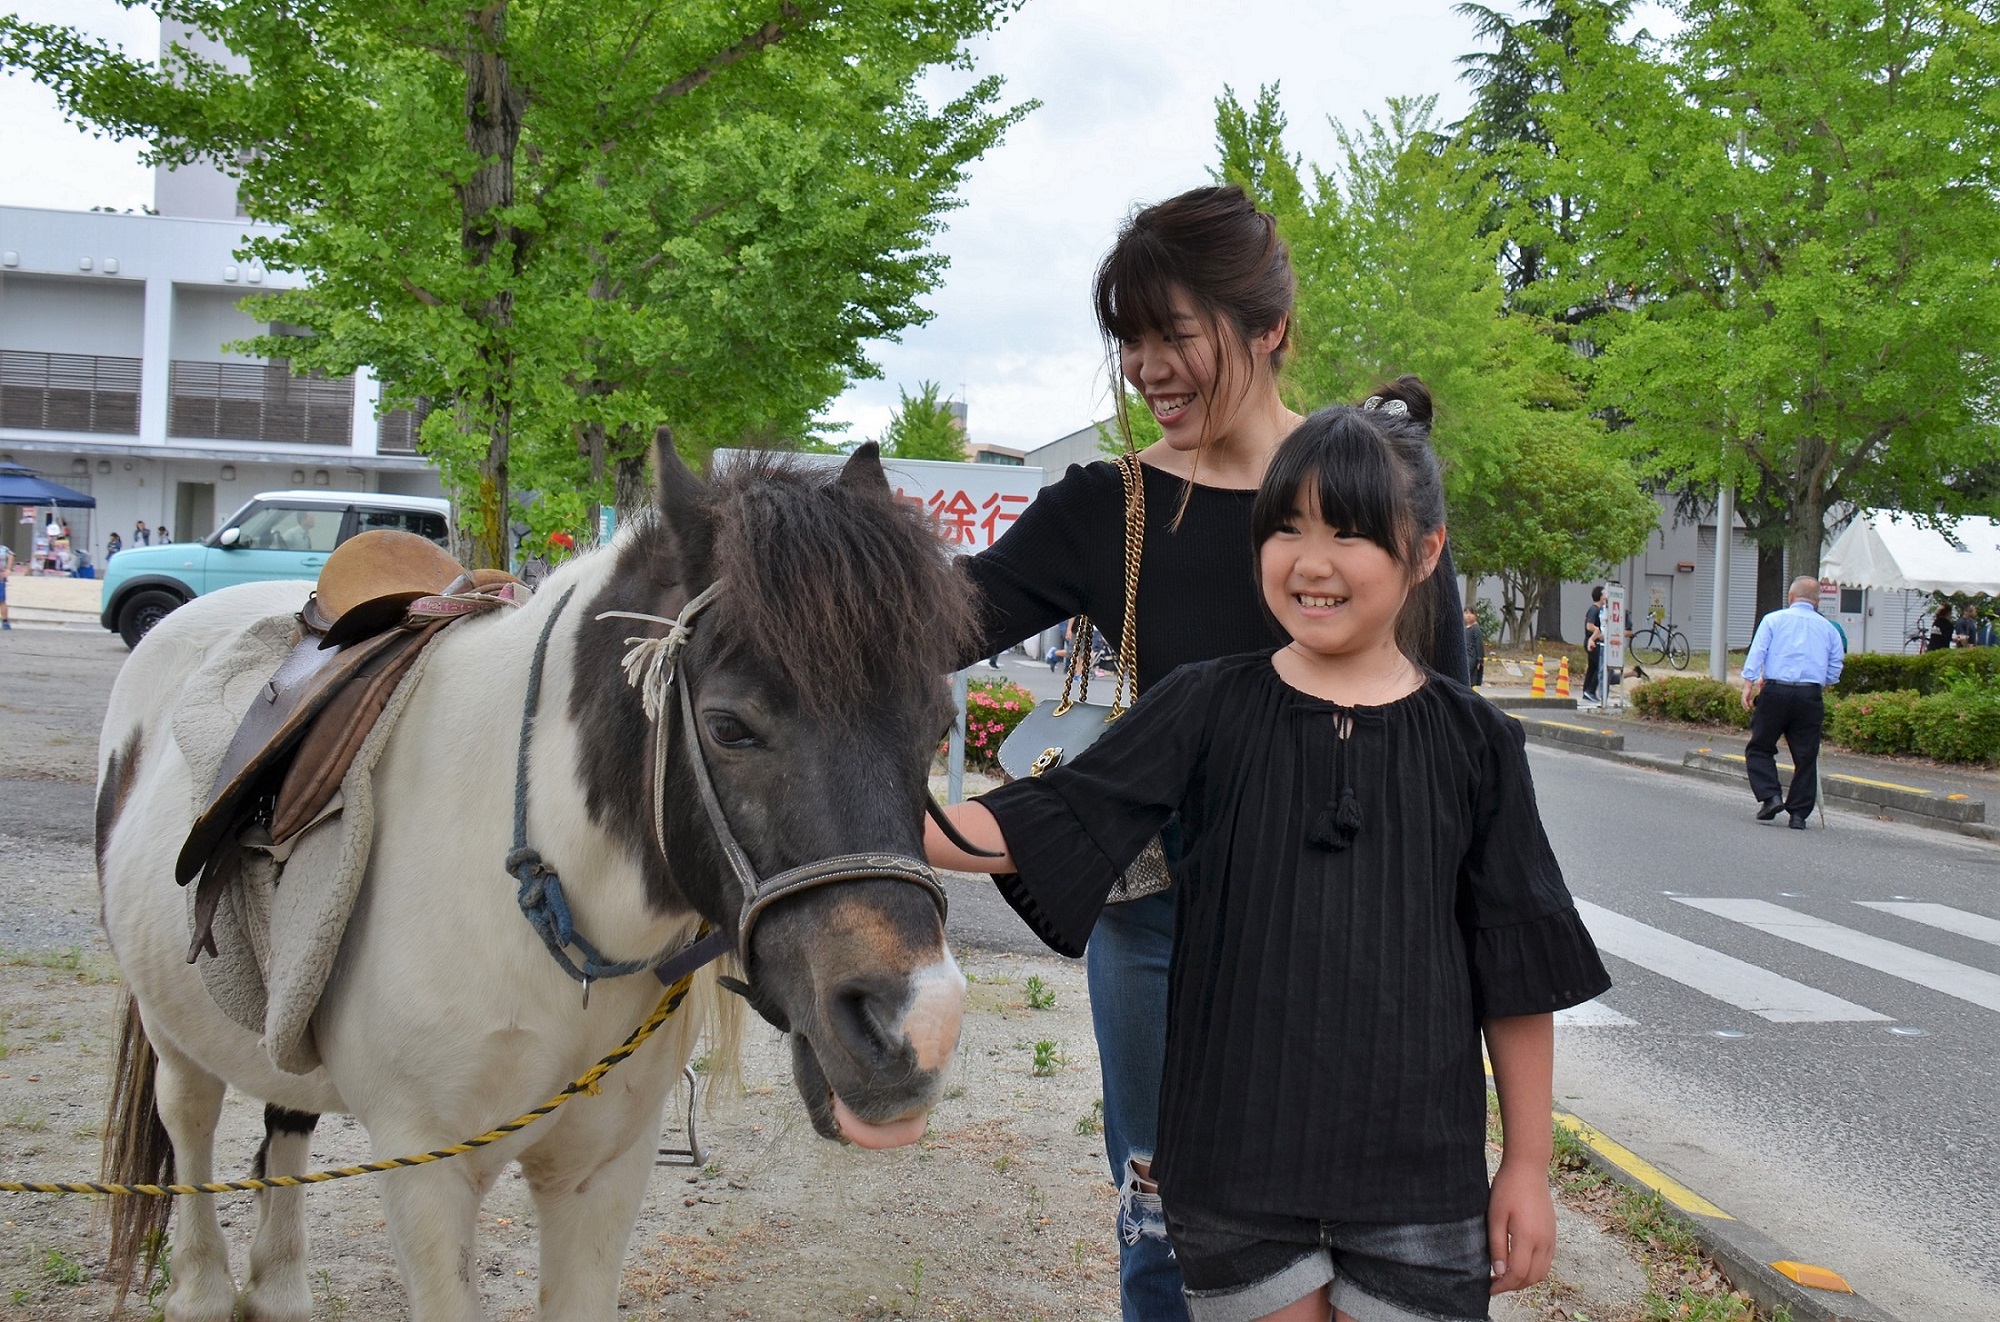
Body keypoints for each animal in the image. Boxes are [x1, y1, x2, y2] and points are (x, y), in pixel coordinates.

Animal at [97, 436, 980, 1320]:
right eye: (730, 726)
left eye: (938, 727)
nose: (917, 1027)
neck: (536, 907)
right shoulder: (425, 1173)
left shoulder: (602, 1174)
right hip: (173, 1026)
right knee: (189, 1123)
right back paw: (203, 1288)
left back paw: (279, 1287)